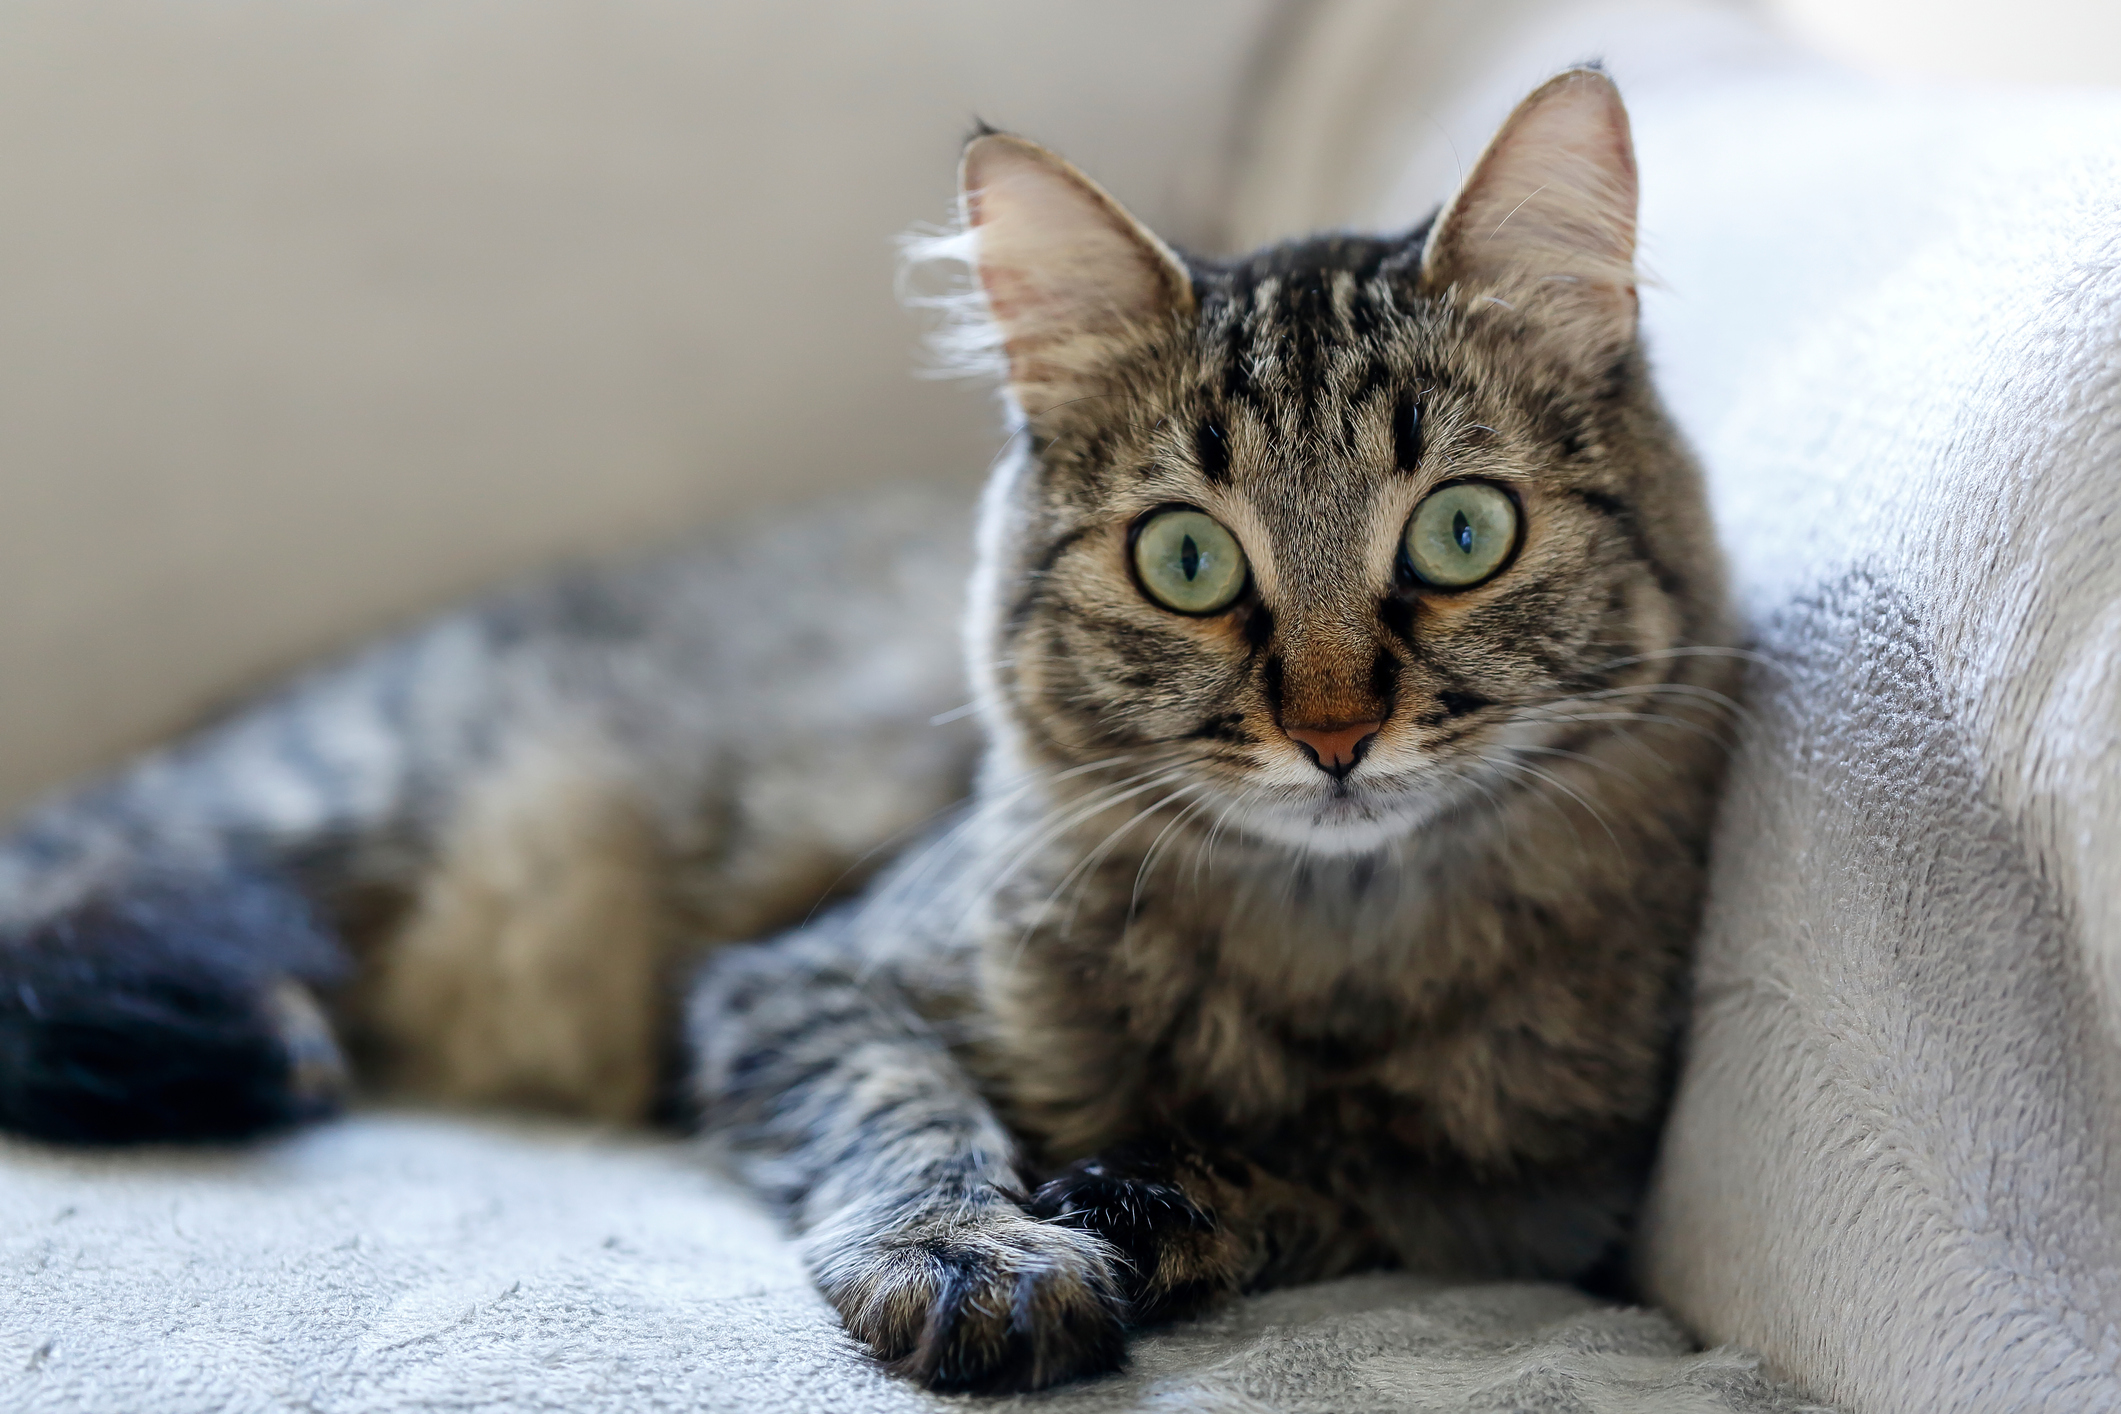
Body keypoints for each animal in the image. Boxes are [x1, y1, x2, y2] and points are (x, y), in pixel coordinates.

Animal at [0, 72, 1722, 1390]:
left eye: (1460, 534)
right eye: (1186, 561)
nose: (1334, 733)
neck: (1329, 949)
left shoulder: (1541, 1189)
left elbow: (1344, 1173)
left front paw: (1154, 1200)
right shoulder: (803, 978)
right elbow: (910, 1113)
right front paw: (979, 1262)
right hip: (336, 794)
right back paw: (266, 1030)